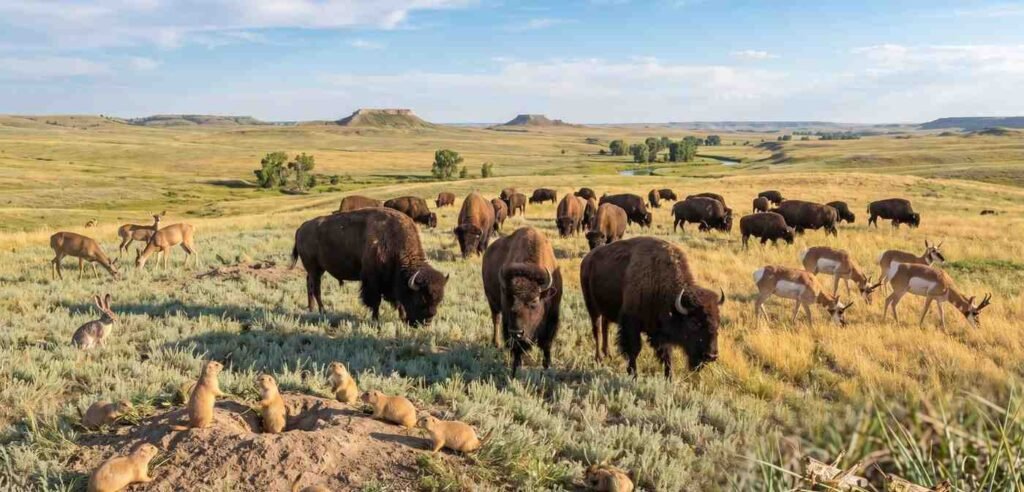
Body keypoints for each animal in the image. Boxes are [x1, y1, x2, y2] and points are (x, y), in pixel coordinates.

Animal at [292, 208, 448, 325]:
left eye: (439, 300)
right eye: (421, 298)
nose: (426, 322)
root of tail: (301, 228)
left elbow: (398, 302)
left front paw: (402, 318)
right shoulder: (372, 281)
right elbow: (375, 301)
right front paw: (375, 320)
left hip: (315, 270)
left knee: (309, 285)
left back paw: (311, 309)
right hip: (314, 269)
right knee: (316, 289)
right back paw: (322, 311)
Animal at [482, 227, 562, 377]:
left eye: (535, 300)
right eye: (509, 297)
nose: (517, 332)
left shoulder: (553, 317)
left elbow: (547, 343)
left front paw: (547, 365)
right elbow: (516, 346)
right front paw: (517, 365)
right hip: (492, 302)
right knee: (496, 320)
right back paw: (496, 344)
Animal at [580, 236, 724, 377]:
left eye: (718, 322)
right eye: (694, 322)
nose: (711, 355)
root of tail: (587, 259)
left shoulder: (660, 331)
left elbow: (666, 354)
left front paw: (669, 377)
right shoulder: (631, 324)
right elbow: (634, 350)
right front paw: (633, 374)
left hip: (605, 310)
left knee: (605, 327)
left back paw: (608, 354)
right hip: (592, 307)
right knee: (597, 330)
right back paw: (598, 358)